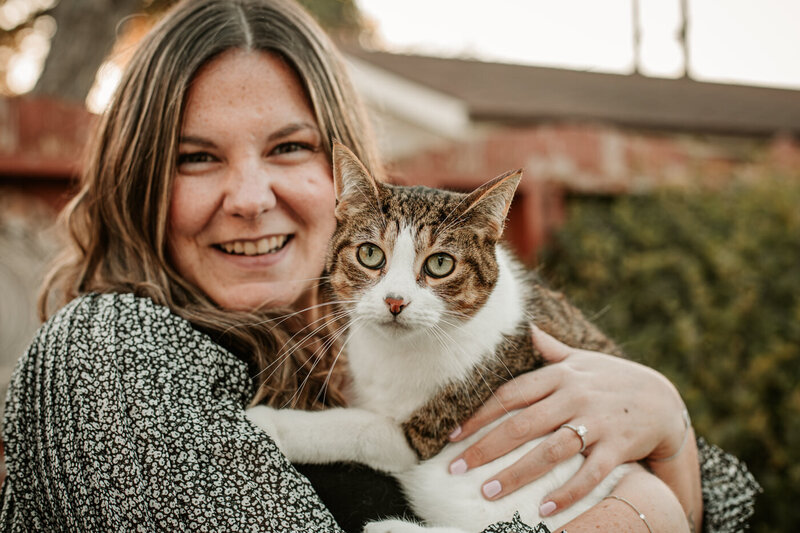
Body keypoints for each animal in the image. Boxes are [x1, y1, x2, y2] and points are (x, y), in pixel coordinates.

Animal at [248, 141, 632, 532]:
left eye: (440, 264)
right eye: (369, 254)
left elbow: (357, 426)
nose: (395, 301)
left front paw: (272, 422)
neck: (395, 352)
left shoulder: (425, 436)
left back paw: (387, 526)